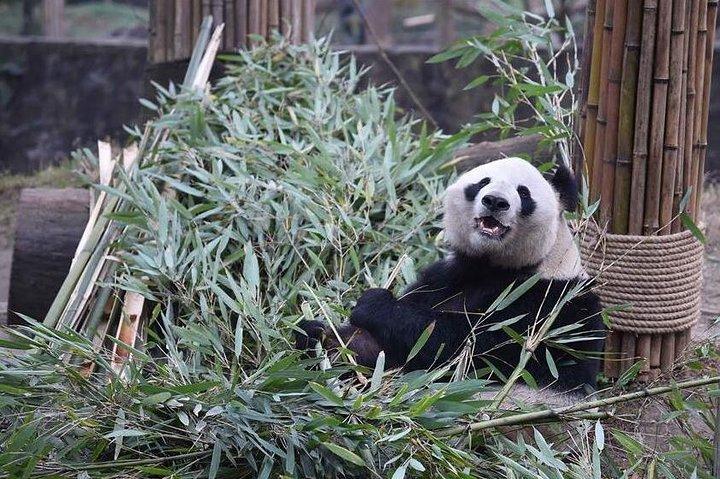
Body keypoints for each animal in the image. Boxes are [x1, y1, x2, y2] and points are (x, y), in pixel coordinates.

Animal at [296, 157, 605, 394]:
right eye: (482, 183)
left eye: (524, 193)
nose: (495, 201)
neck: (495, 264)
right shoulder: (445, 276)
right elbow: (378, 349)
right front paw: (320, 336)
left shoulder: (549, 303)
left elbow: (462, 346)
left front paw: (373, 304)